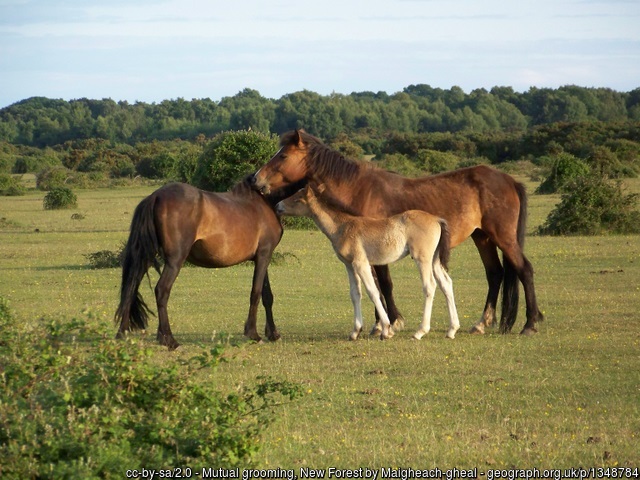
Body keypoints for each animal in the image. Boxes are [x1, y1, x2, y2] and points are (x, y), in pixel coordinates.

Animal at [114, 174, 302, 350]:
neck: (265, 200)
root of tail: (155, 196)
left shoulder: (262, 257)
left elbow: (267, 295)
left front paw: (273, 333)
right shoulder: (264, 254)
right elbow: (255, 293)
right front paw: (253, 334)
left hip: (146, 256)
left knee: (131, 287)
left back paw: (122, 335)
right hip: (175, 260)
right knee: (161, 290)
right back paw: (169, 340)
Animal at [276, 184, 460, 341]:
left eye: (297, 199)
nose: (278, 206)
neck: (343, 226)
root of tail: (437, 219)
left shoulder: (361, 263)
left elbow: (373, 292)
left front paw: (386, 330)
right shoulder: (349, 265)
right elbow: (355, 294)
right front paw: (355, 332)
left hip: (423, 259)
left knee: (430, 286)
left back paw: (420, 332)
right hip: (435, 260)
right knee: (446, 284)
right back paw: (452, 330)